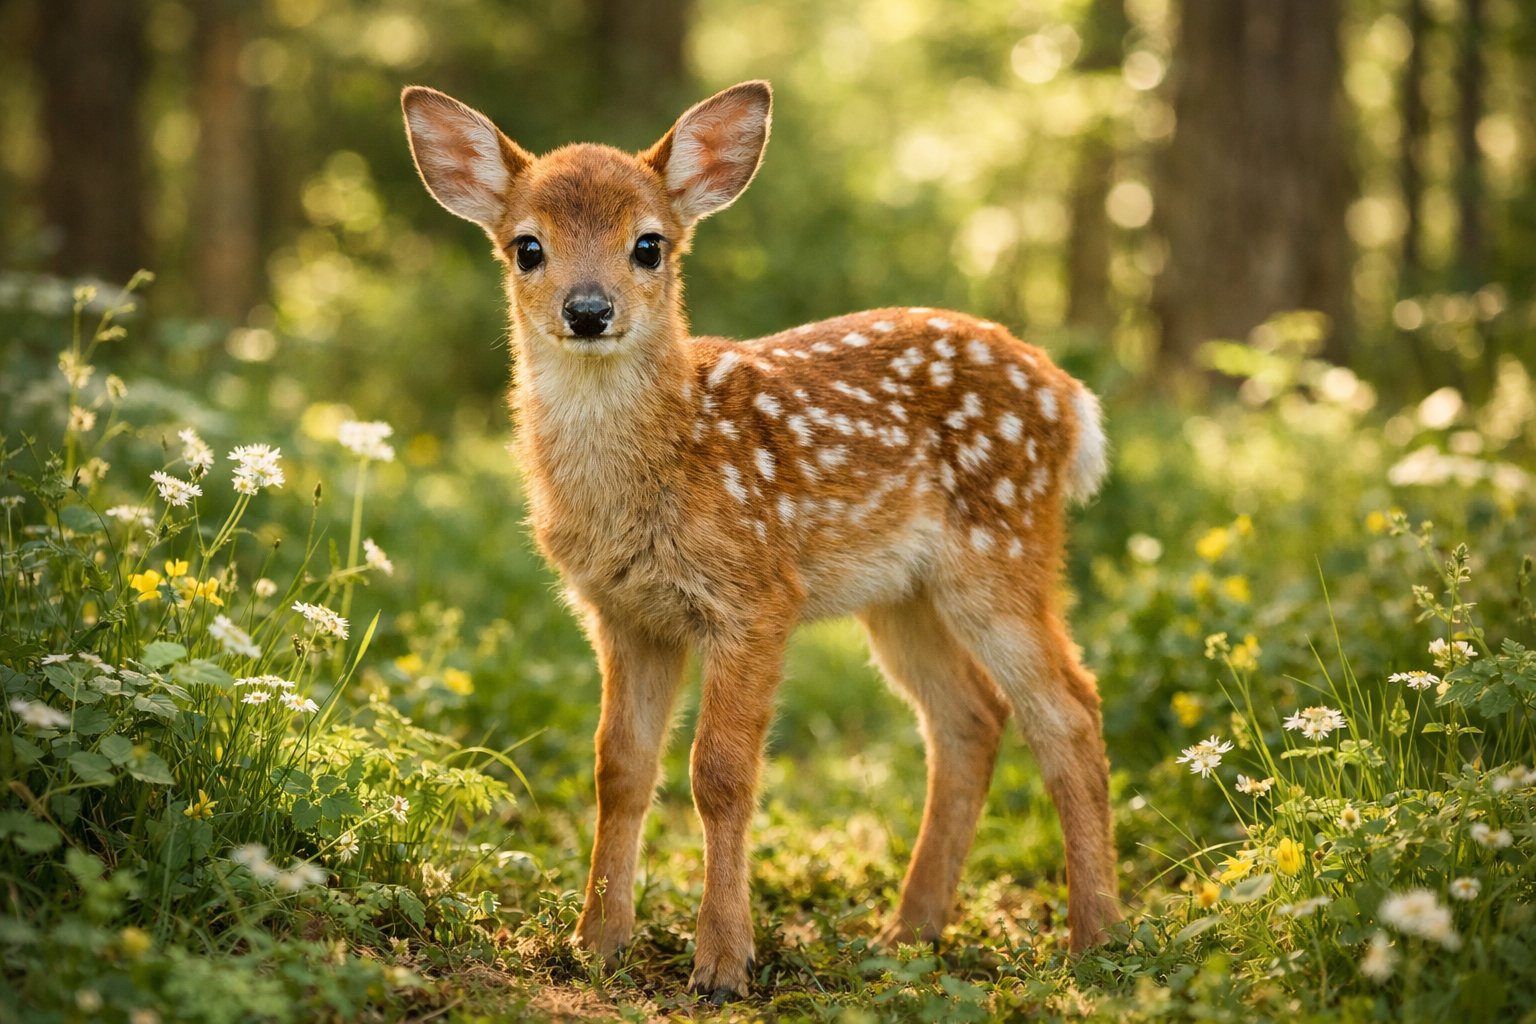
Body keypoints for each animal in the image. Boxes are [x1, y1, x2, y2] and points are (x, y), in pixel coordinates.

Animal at [401, 79, 1119, 1002]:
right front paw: (595, 942)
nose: (589, 310)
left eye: (649, 245)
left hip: (1002, 546)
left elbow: (720, 773)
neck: (665, 467)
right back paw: (908, 932)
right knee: (969, 717)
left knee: (1066, 708)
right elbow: (619, 768)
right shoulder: (623, 614)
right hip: (902, 595)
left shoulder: (755, 597)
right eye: (528, 247)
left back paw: (1097, 937)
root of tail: (1071, 400)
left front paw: (721, 962)